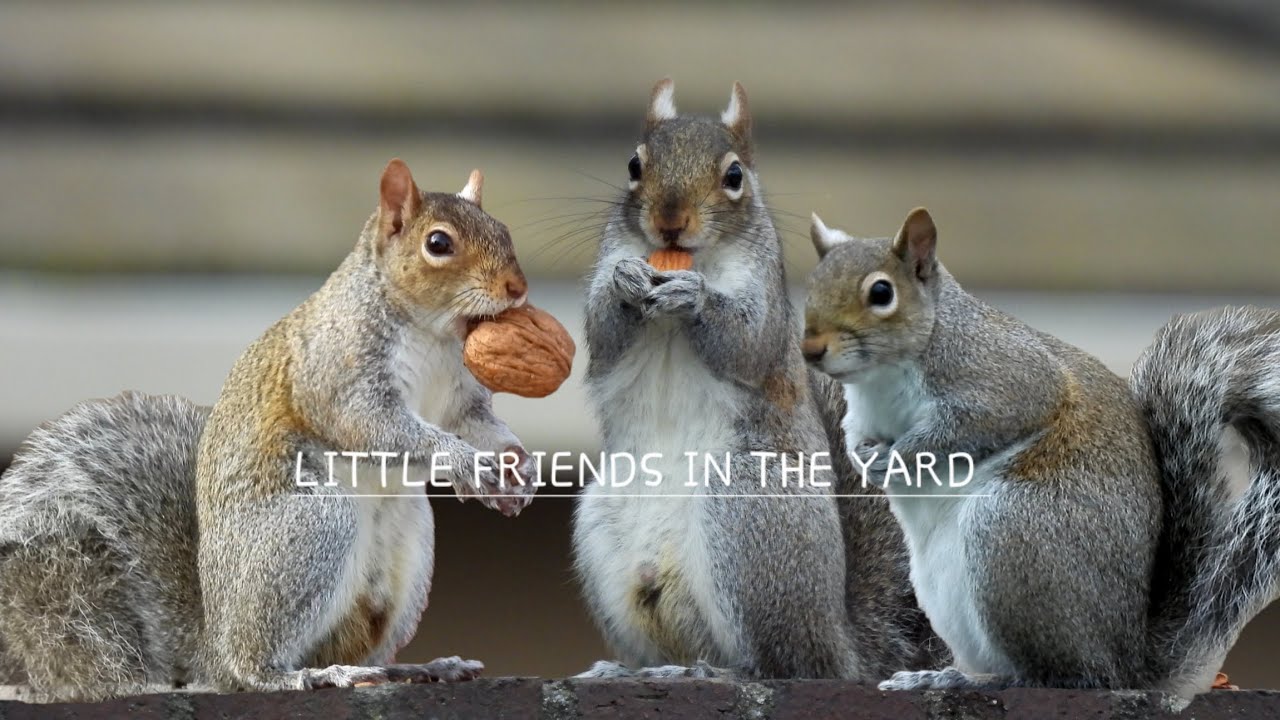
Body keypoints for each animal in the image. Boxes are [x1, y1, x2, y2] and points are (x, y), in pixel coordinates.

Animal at [0, 159, 538, 701]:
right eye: (438, 243)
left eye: (503, 230)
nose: (516, 288)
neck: (433, 332)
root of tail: (212, 648)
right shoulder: (338, 372)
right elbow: (376, 425)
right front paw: (464, 462)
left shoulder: (462, 398)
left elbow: (478, 423)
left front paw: (517, 467)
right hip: (310, 527)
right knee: (254, 668)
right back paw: (307, 675)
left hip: (408, 545)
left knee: (362, 652)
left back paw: (416, 668)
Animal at [573, 79, 944, 681]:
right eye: (634, 165)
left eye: (734, 176)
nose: (670, 220)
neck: (690, 259)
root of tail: (842, 647)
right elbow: (605, 334)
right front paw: (626, 282)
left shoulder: (764, 299)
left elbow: (744, 342)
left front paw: (693, 296)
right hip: (601, 533)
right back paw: (636, 669)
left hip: (747, 512)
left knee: (779, 662)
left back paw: (716, 671)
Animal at [802, 206, 1280, 699]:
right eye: (813, 283)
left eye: (881, 292)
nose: (811, 349)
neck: (883, 378)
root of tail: (1128, 662)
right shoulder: (862, 416)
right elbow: (854, 438)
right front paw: (865, 459)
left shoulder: (1005, 381)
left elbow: (969, 428)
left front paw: (898, 456)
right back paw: (936, 675)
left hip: (1014, 536)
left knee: (1061, 676)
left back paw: (976, 679)